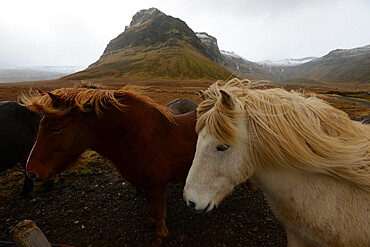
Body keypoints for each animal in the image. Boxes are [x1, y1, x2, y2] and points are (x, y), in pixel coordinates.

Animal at [21, 87, 197, 241]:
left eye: (56, 129)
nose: (31, 171)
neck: (141, 136)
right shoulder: (148, 185)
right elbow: (153, 209)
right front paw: (151, 223)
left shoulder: (156, 185)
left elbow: (159, 211)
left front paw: (162, 235)